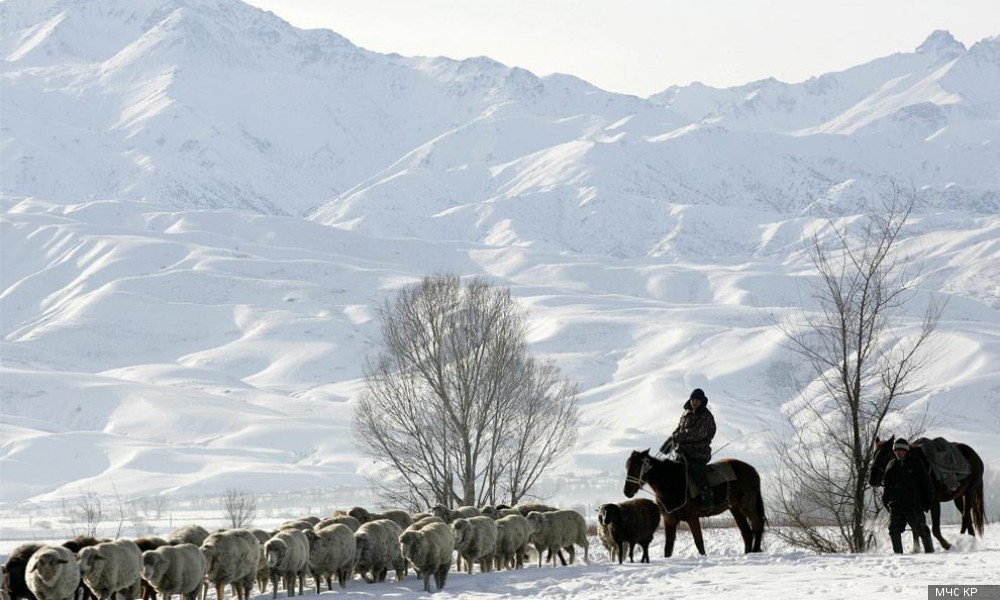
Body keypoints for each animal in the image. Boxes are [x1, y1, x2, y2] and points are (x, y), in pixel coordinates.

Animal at [624, 448, 764, 556]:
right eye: (627, 467)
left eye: (637, 467)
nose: (627, 491)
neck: (671, 482)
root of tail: (753, 471)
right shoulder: (669, 519)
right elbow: (668, 548)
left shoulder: (692, 518)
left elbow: (699, 543)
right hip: (735, 508)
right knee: (746, 532)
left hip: (747, 505)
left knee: (757, 524)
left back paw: (756, 551)